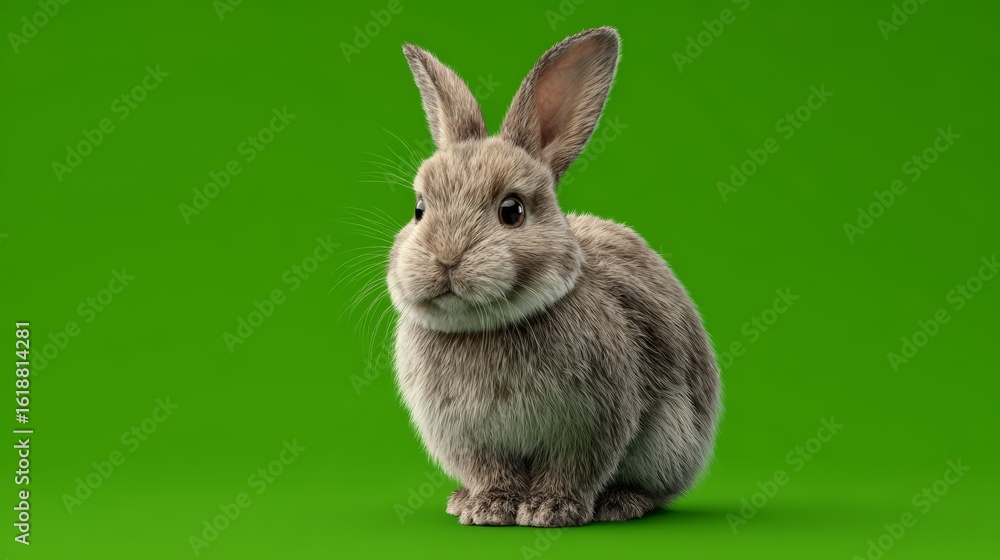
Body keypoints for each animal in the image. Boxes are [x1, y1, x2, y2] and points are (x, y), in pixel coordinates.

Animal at [387, 27, 721, 527]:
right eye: (419, 209)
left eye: (512, 211)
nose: (445, 259)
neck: (487, 327)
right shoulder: (467, 437)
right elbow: (492, 471)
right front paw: (488, 508)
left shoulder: (589, 424)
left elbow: (571, 469)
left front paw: (550, 510)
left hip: (672, 441)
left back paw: (621, 504)